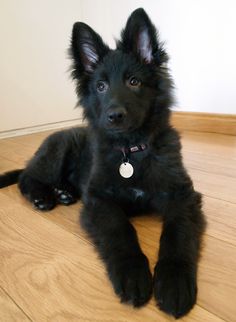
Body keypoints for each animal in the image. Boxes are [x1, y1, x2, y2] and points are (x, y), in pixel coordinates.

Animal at [0, 8, 206, 318]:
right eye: (100, 86)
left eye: (134, 82)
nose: (114, 115)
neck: (130, 152)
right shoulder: (99, 200)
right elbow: (120, 230)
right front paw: (133, 275)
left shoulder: (183, 196)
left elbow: (177, 234)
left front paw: (174, 282)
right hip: (58, 148)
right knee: (27, 177)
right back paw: (43, 196)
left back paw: (64, 193)